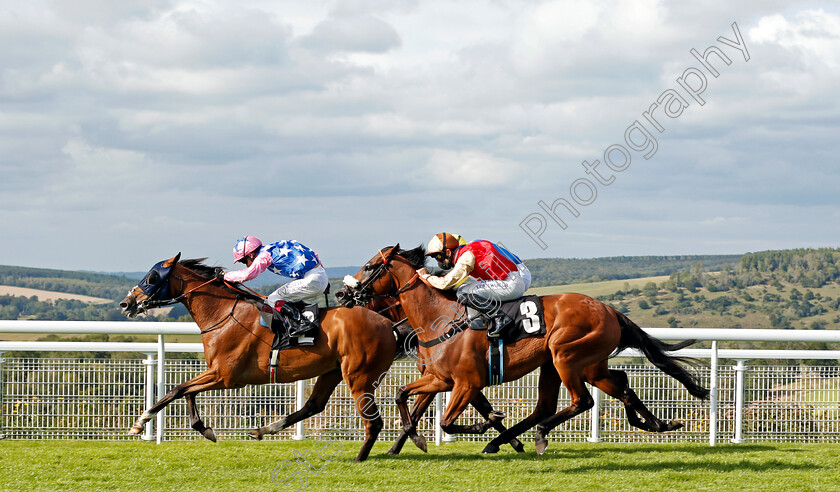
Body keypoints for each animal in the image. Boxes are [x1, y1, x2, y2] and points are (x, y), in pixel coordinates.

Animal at [118, 254, 398, 462]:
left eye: (152, 277)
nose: (126, 303)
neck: (223, 313)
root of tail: (389, 324)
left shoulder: (225, 376)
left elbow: (177, 390)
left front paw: (140, 422)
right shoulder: (217, 373)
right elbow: (187, 392)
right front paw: (205, 429)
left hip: (360, 376)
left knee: (374, 422)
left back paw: (360, 458)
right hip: (333, 371)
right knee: (313, 405)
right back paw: (262, 430)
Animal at [338, 244, 704, 456]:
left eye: (370, 266)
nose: (343, 294)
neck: (438, 320)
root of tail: (609, 309)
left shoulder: (465, 383)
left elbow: (447, 420)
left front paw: (485, 427)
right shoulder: (441, 379)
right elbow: (404, 397)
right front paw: (409, 442)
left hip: (565, 356)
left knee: (582, 401)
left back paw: (533, 437)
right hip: (571, 363)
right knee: (612, 385)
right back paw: (656, 424)